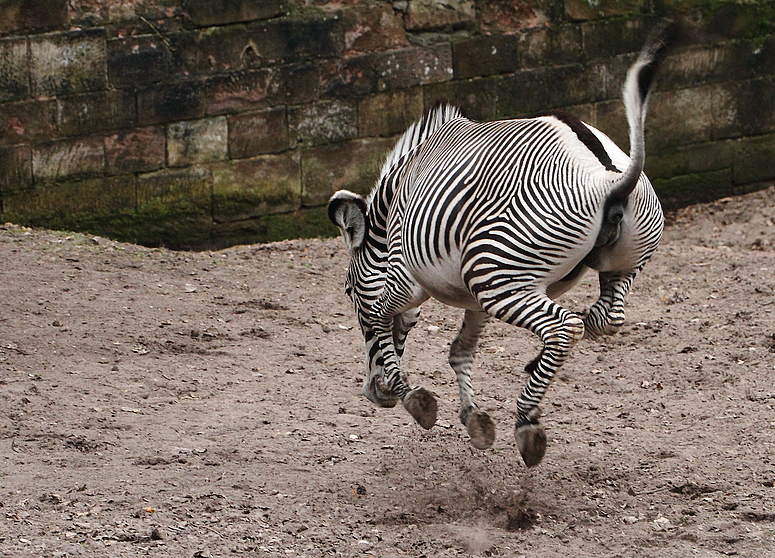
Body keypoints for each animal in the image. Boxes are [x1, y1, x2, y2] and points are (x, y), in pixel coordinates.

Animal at [326, 21, 672, 468]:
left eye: (349, 291)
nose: (373, 393)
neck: (388, 224)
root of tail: (606, 177)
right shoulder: (470, 296)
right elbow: (459, 350)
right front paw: (474, 420)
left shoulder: (405, 277)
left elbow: (381, 318)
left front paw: (414, 398)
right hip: (608, 268)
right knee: (604, 319)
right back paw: (536, 368)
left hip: (497, 279)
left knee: (566, 326)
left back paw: (527, 421)